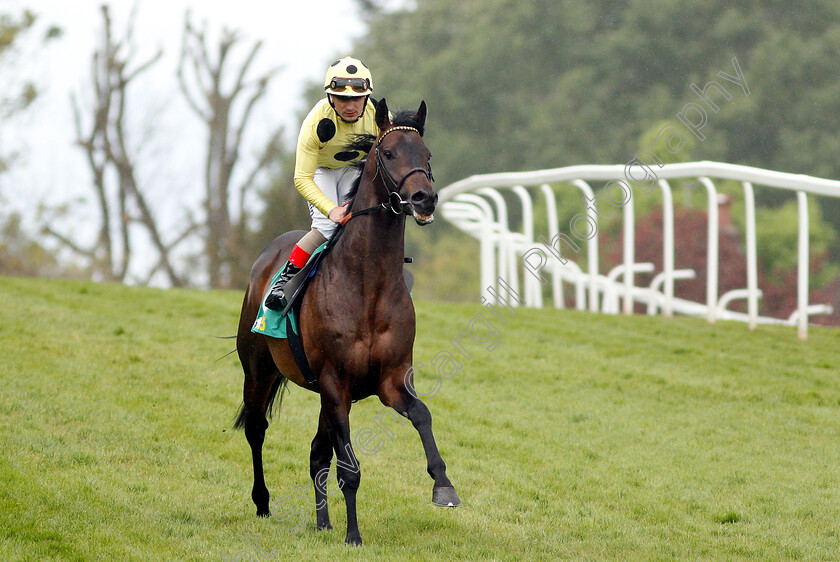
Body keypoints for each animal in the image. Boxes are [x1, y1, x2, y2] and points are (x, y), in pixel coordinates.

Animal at [235, 99, 460, 544]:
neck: (367, 284)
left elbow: (422, 414)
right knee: (256, 428)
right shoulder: (335, 382)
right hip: (259, 369)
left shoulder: (390, 380)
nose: (424, 198)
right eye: (388, 153)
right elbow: (350, 468)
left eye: (426, 155)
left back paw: (322, 522)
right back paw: (263, 502)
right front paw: (353, 535)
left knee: (316, 452)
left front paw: (443, 486)